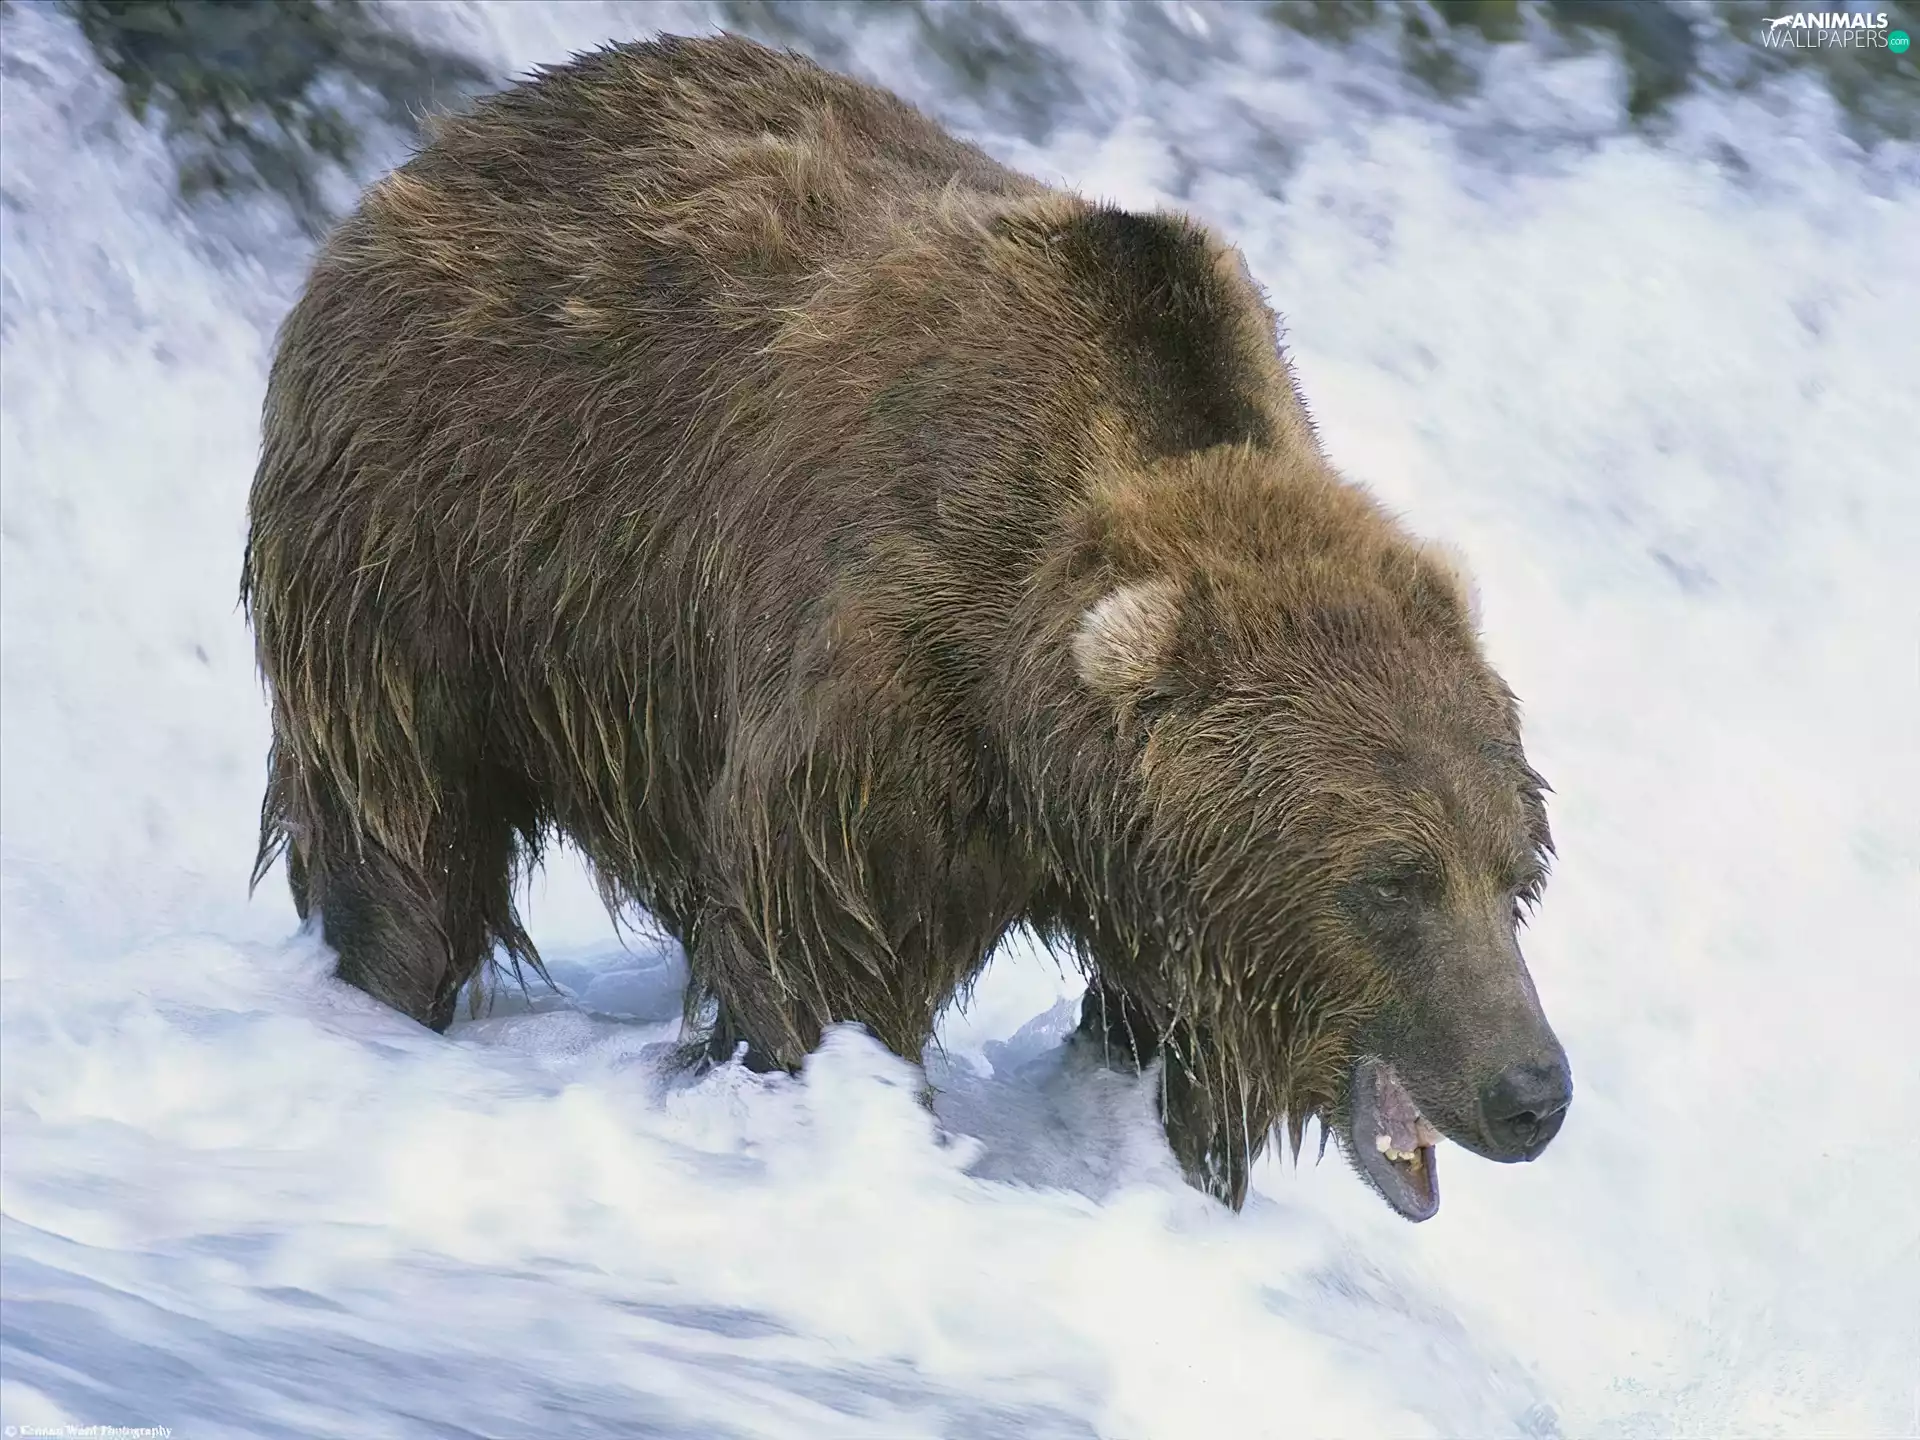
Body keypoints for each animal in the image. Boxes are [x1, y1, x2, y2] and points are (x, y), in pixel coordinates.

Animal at [243, 33, 1572, 1219]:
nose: (1531, 1090)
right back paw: (386, 976)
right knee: (405, 818)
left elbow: (1168, 1030)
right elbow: (823, 945)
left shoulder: (1150, 875)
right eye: (1391, 880)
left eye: (1515, 875)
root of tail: (447, 139)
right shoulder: (885, 691)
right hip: (434, 533)